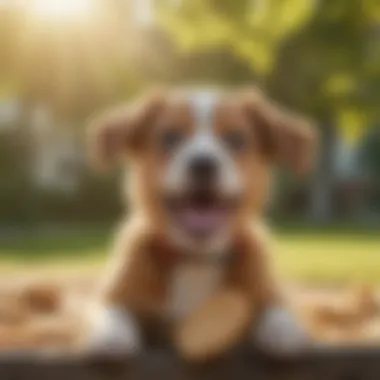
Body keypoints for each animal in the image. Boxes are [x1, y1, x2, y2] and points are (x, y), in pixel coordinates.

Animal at [84, 87, 316, 362]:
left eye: (236, 138)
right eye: (170, 136)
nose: (203, 164)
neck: (196, 258)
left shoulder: (265, 290)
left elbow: (276, 308)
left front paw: (285, 329)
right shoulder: (118, 292)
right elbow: (112, 311)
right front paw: (110, 335)